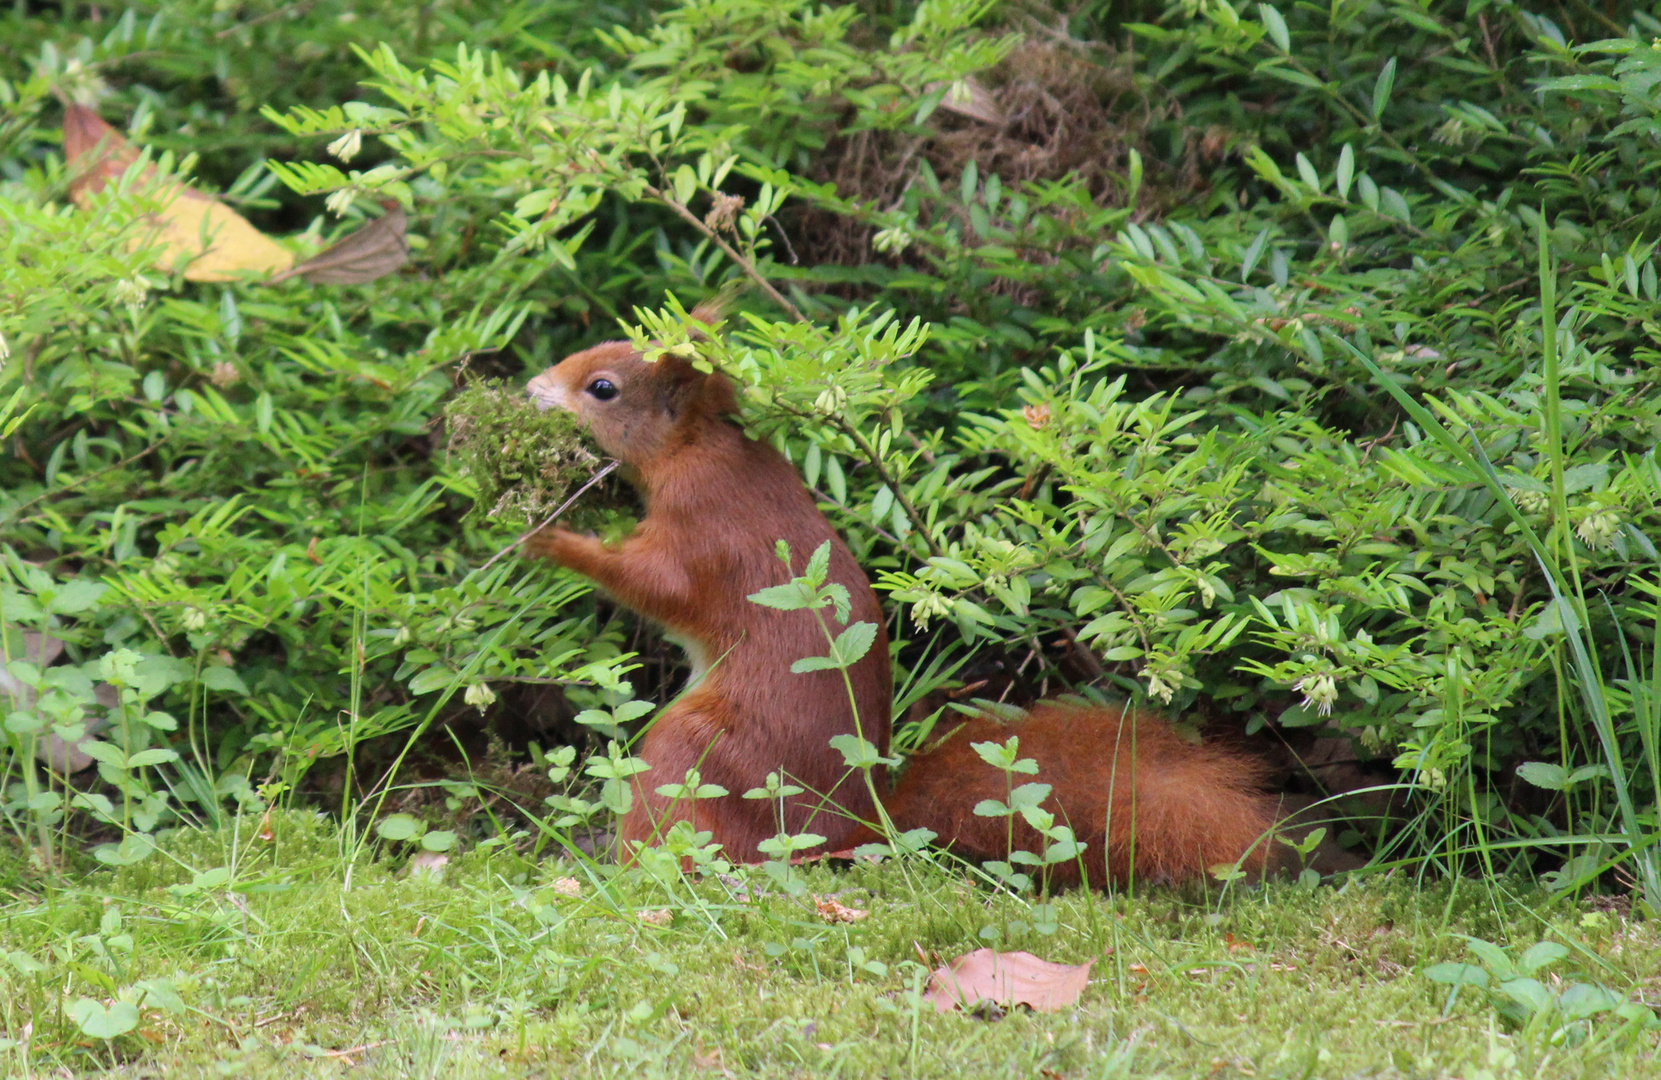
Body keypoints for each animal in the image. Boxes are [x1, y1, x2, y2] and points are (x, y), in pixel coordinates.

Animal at [524, 333, 1275, 883]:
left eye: (601, 388)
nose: (530, 389)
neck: (701, 446)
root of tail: (849, 824)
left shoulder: (702, 526)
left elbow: (657, 584)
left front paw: (553, 541)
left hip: (702, 752)